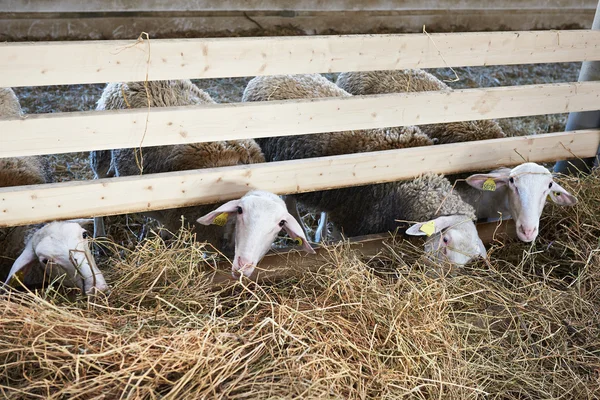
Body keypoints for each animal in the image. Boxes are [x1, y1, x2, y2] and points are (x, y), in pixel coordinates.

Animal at [90, 79, 314, 276]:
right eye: (240, 211)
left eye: (281, 224)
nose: (244, 265)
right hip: (101, 153)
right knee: (98, 186)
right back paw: (100, 239)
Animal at [241, 74, 486, 266]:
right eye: (445, 240)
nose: (440, 278)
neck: (409, 180)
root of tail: (265, 78)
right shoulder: (354, 218)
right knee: (289, 201)